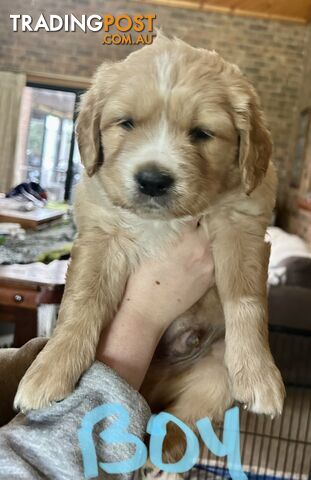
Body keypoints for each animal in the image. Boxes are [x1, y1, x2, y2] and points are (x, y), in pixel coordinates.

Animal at [15, 35, 286, 426]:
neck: (164, 220)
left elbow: (246, 301)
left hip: (213, 376)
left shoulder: (242, 226)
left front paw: (259, 374)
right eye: (126, 123)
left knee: (182, 424)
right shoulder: (101, 232)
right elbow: (82, 300)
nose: (154, 180)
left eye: (202, 133)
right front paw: (50, 368)